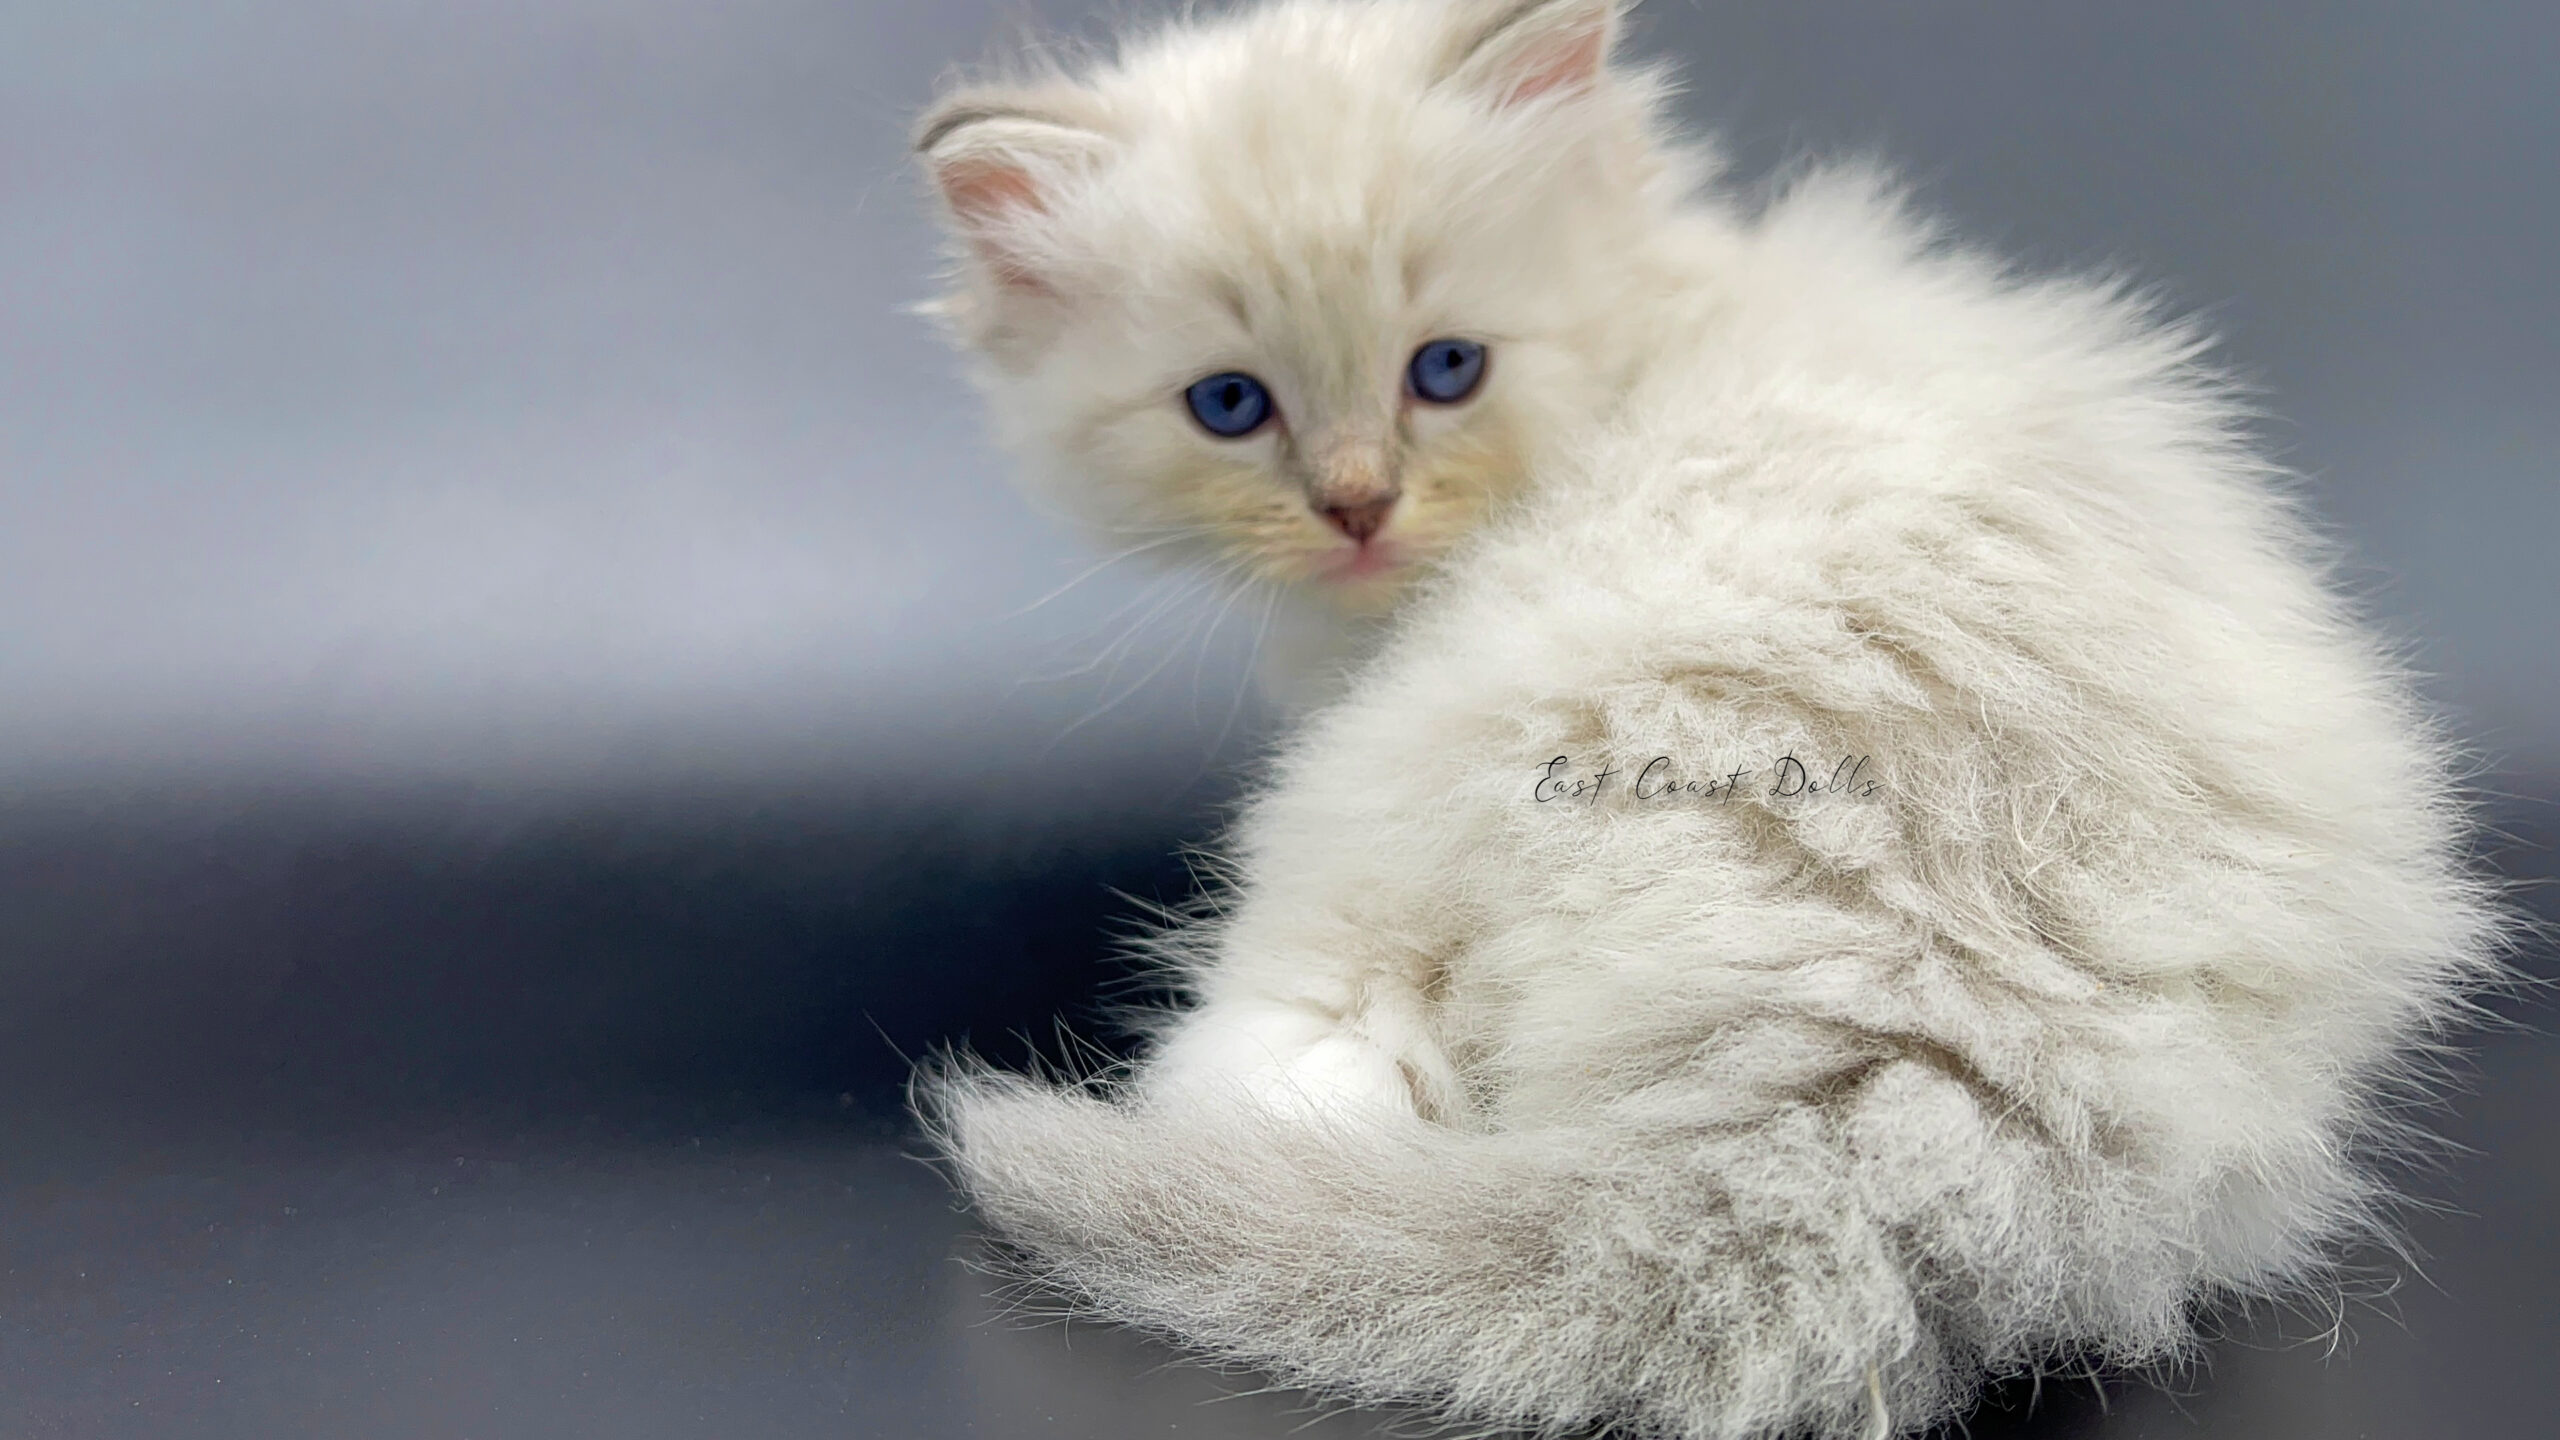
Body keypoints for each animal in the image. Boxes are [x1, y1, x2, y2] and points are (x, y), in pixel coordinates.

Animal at [916, 2, 2498, 1434]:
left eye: (1447, 370)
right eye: (1230, 406)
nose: (1358, 510)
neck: (1654, 322)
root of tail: (1962, 1050)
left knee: (1312, 1074)